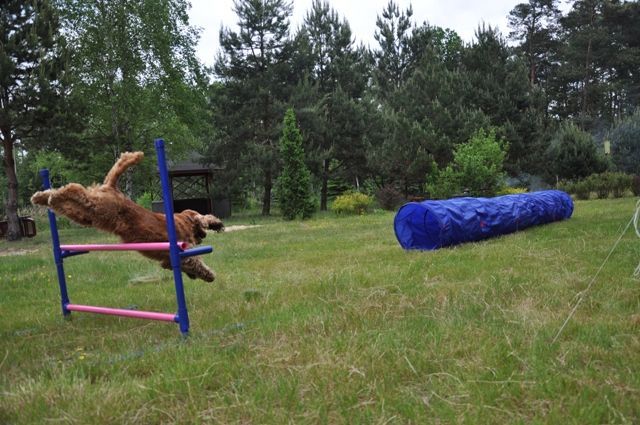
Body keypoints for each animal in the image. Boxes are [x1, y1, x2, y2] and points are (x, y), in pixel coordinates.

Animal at [31, 152, 224, 282]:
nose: (203, 237)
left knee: (67, 203)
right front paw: (209, 275)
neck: (184, 220)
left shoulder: (168, 259)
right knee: (74, 189)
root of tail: (112, 188)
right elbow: (196, 261)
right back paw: (53, 195)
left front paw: (195, 275)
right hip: (99, 207)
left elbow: (177, 265)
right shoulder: (182, 251)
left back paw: (42, 197)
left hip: (87, 214)